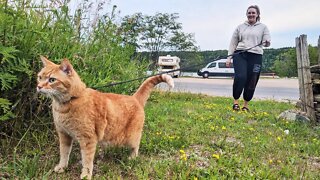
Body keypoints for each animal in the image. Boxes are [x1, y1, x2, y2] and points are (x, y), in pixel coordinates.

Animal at [36, 56, 174, 179]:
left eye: (52, 80)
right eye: (40, 77)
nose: (39, 86)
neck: (67, 103)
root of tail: (134, 98)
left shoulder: (88, 140)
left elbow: (87, 160)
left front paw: (86, 175)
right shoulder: (64, 135)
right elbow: (64, 154)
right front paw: (62, 167)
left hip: (131, 137)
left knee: (136, 146)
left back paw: (132, 158)